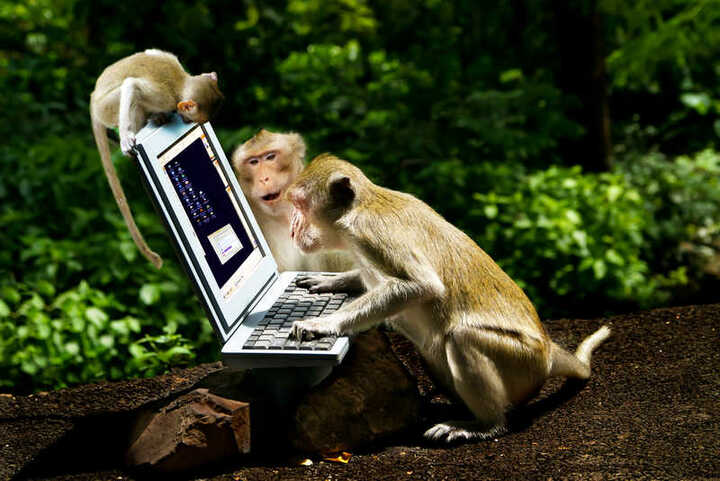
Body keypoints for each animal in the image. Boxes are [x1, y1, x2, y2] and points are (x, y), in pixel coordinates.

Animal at [90, 49, 224, 269]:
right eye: (191, 119)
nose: (186, 120)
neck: (181, 81)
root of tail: (93, 102)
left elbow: (152, 53)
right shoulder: (165, 97)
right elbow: (132, 86)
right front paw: (126, 138)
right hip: (107, 108)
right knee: (131, 98)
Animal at [285, 153, 611, 443]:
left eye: (299, 204)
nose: (292, 228)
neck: (360, 206)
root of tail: (548, 350)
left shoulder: (369, 233)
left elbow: (421, 285)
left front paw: (324, 324)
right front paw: (332, 281)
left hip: (522, 360)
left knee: (462, 337)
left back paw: (485, 424)